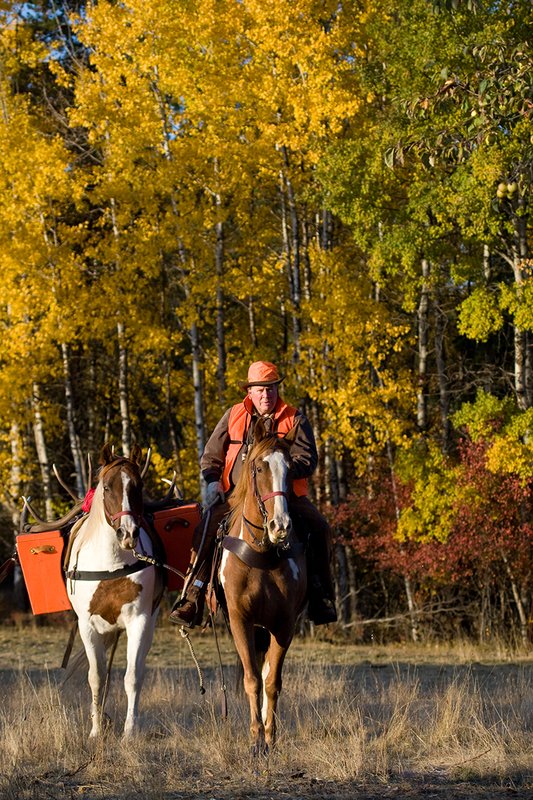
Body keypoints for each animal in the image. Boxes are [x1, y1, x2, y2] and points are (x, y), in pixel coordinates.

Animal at [64, 444, 163, 739]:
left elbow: (132, 676)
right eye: (107, 487)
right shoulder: (87, 625)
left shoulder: (139, 620)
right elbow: (96, 678)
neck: (110, 563)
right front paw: (96, 730)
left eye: (138, 486)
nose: (127, 533)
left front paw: (129, 731)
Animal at [219, 418, 307, 755]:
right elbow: (252, 679)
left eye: (291, 470)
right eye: (258, 467)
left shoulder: (284, 625)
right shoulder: (239, 621)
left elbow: (271, 681)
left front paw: (270, 736)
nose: (280, 526)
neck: (262, 556)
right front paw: (256, 738)